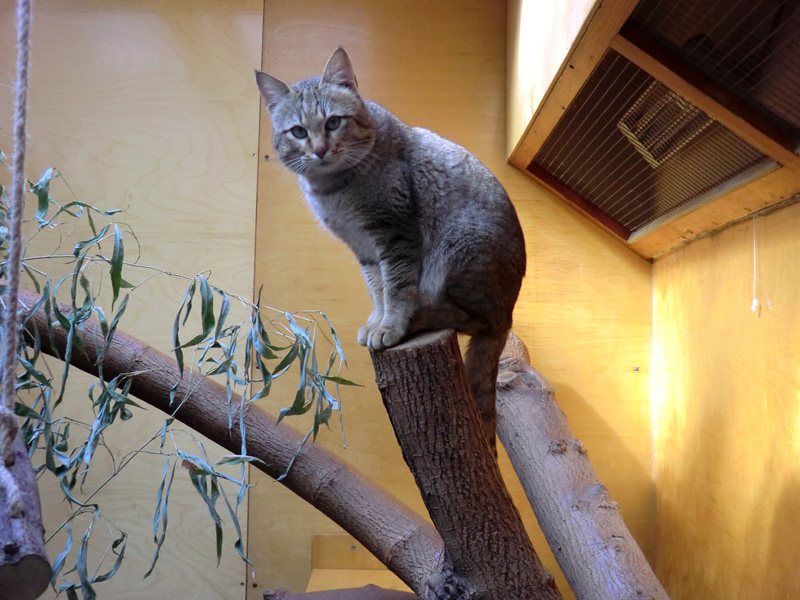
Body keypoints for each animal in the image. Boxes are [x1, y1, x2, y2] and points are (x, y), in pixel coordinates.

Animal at [256, 49, 528, 452]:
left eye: (334, 122)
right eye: (299, 131)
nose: (319, 150)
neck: (333, 188)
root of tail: (509, 312)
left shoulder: (395, 233)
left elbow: (397, 286)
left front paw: (392, 324)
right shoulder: (364, 247)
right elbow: (378, 288)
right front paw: (379, 319)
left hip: (461, 248)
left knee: (471, 318)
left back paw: (422, 315)